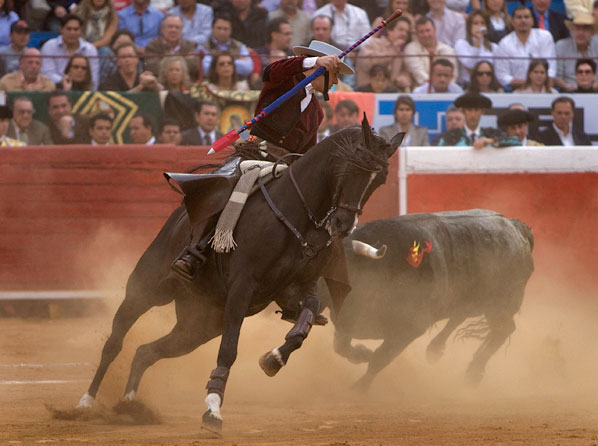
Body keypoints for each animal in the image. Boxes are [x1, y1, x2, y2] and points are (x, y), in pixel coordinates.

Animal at [75, 116, 404, 432]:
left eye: (381, 178)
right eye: (354, 166)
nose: (343, 224)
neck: (298, 214)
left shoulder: (299, 289)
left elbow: (304, 323)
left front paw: (273, 359)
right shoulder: (242, 287)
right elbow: (229, 349)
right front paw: (212, 409)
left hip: (198, 326)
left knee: (146, 351)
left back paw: (130, 404)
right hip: (145, 289)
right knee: (115, 341)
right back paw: (86, 402)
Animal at [326, 209, 536, 390]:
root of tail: (516, 226)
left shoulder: (410, 329)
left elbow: (380, 359)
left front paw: (358, 388)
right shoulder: (347, 321)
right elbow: (341, 347)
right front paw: (363, 354)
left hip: (501, 305)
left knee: (503, 329)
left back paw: (473, 373)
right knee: (460, 314)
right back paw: (435, 350)